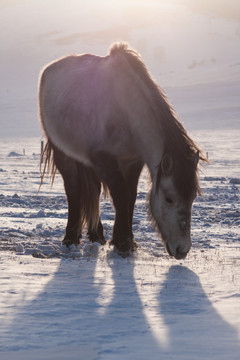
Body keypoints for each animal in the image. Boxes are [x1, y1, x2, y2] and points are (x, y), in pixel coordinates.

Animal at [38, 43, 206, 258]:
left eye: (192, 197)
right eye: (169, 199)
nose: (182, 250)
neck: (125, 108)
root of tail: (49, 69)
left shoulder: (132, 161)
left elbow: (130, 197)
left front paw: (128, 240)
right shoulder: (105, 160)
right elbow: (121, 196)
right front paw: (123, 242)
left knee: (93, 190)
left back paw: (97, 235)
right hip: (63, 154)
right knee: (73, 190)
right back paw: (70, 238)